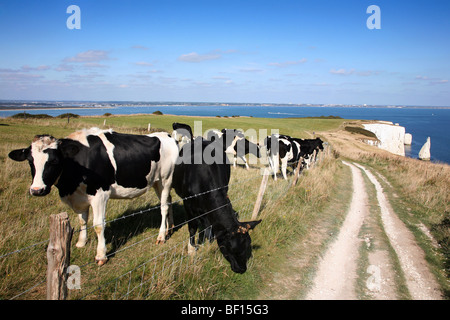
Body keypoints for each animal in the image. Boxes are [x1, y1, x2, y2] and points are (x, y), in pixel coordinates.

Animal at [8, 127, 179, 264]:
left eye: (55, 161)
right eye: (30, 161)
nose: (37, 190)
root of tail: (166, 135)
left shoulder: (100, 195)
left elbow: (98, 225)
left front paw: (101, 255)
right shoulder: (79, 196)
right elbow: (82, 220)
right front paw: (81, 243)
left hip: (166, 179)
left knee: (163, 207)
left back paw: (161, 236)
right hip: (156, 182)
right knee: (169, 201)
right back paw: (170, 227)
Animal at [173, 138, 264, 272]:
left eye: (248, 244)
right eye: (228, 247)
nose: (242, 269)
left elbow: (209, 228)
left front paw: (208, 244)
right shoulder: (188, 206)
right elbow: (192, 227)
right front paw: (192, 249)